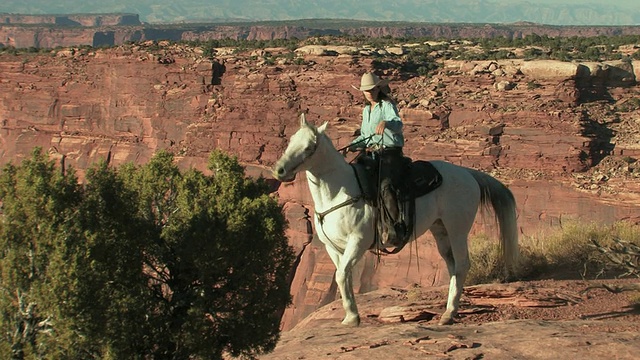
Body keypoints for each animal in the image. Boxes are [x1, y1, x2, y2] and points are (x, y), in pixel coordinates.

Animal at [272, 115, 520, 326]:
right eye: (291, 140)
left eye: (309, 147)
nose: (279, 170)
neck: (338, 192)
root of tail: (468, 173)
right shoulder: (332, 247)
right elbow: (344, 277)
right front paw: (351, 315)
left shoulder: (358, 241)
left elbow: (342, 275)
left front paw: (352, 319)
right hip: (440, 230)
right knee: (451, 266)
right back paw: (449, 310)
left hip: (457, 229)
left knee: (461, 265)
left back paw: (449, 314)